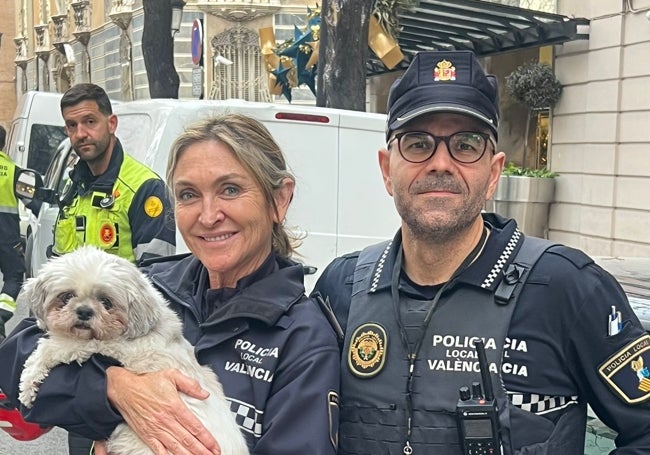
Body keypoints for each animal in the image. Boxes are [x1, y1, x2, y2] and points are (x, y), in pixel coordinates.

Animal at [17, 248, 251, 455]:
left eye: (106, 302)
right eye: (66, 296)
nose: (84, 311)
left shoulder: (105, 344)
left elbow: (53, 347)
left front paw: (28, 385)